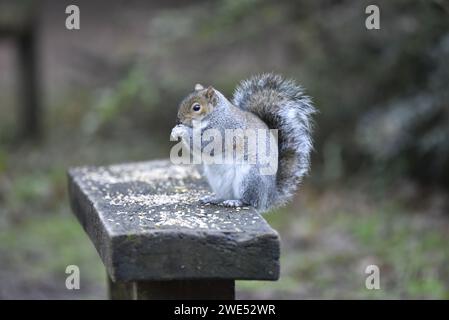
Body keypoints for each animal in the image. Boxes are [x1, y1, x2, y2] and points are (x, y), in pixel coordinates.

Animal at [171, 73, 316, 212]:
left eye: (196, 107)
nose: (179, 119)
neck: (216, 115)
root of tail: (269, 196)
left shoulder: (223, 131)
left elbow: (207, 145)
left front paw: (182, 130)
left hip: (249, 178)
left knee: (250, 201)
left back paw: (236, 201)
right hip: (217, 181)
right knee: (226, 195)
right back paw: (214, 198)